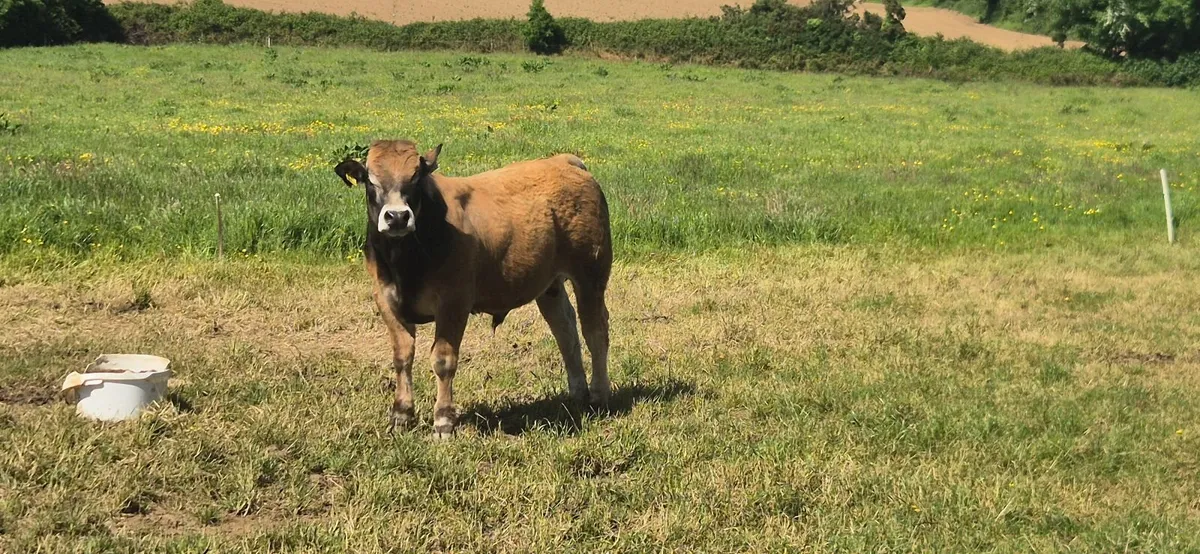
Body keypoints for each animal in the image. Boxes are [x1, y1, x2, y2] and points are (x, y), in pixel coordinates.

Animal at [334, 140, 613, 438]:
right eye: (370, 180)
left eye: (416, 178)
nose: (397, 217)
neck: (406, 260)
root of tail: (563, 162)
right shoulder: (386, 301)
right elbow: (402, 357)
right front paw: (401, 415)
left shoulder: (453, 302)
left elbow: (443, 360)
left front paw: (443, 420)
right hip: (550, 285)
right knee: (565, 330)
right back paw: (577, 392)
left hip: (591, 274)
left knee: (595, 331)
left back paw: (599, 394)